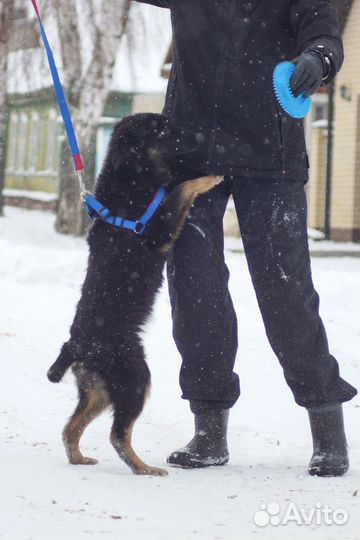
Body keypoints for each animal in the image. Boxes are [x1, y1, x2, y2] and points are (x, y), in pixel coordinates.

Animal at [47, 114, 222, 476]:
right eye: (162, 128)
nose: (194, 131)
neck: (132, 175)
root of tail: (76, 346)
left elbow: (176, 187)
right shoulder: (159, 229)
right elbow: (181, 189)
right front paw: (209, 178)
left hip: (100, 390)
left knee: (71, 428)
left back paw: (80, 458)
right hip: (134, 377)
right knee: (118, 435)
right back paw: (145, 468)